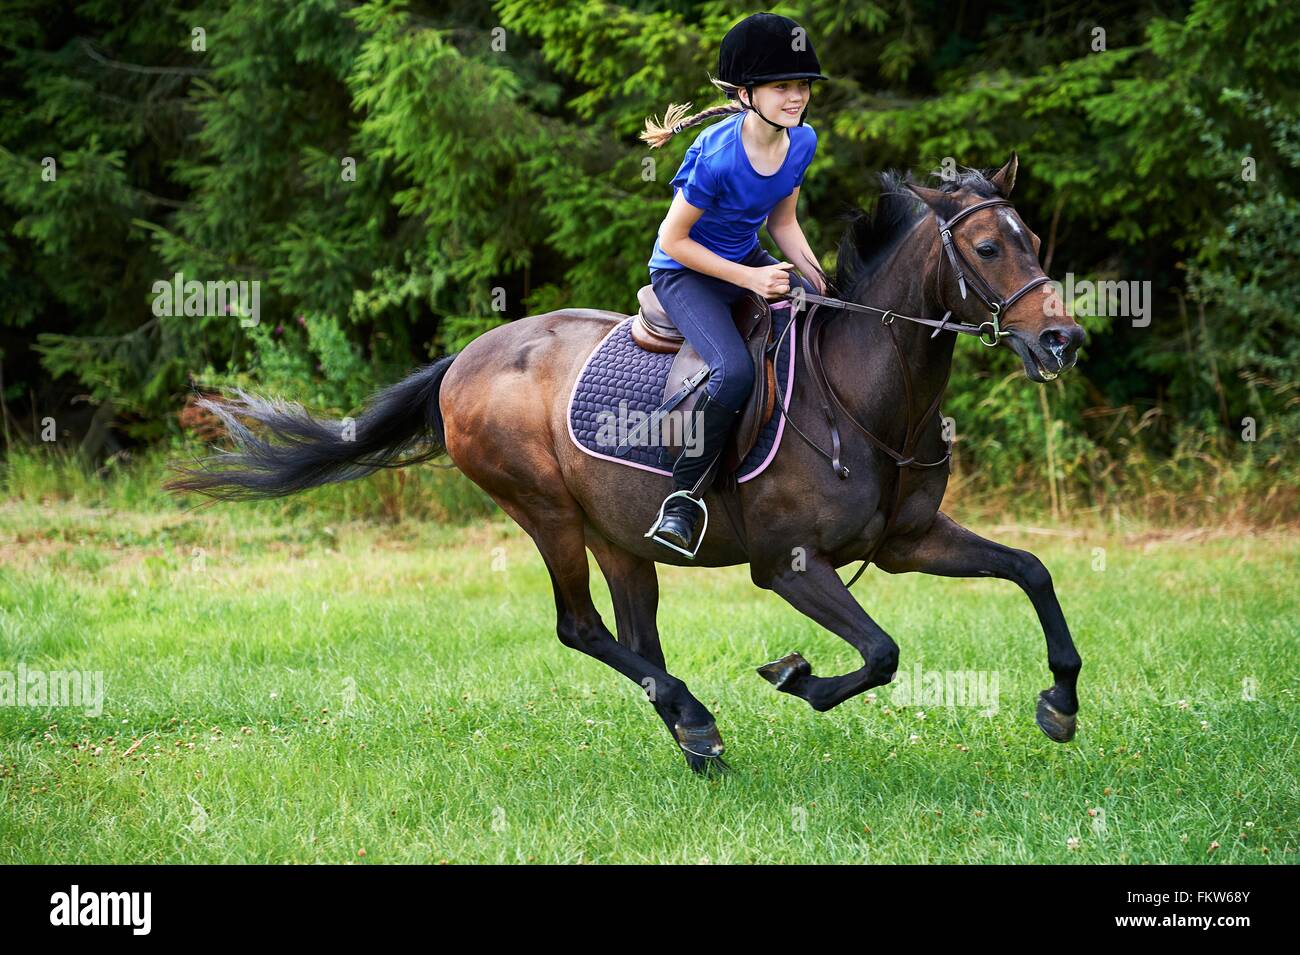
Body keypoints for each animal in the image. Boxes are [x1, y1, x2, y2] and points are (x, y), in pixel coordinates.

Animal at [170, 151, 1086, 779]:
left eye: (1035, 239)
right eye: (986, 248)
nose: (1063, 339)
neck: (865, 394)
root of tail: (467, 356)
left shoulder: (909, 540)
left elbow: (1033, 571)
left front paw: (1061, 702)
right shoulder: (788, 564)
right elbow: (883, 652)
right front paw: (796, 676)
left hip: (620, 534)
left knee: (635, 636)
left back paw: (695, 735)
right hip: (547, 513)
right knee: (581, 628)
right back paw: (697, 720)